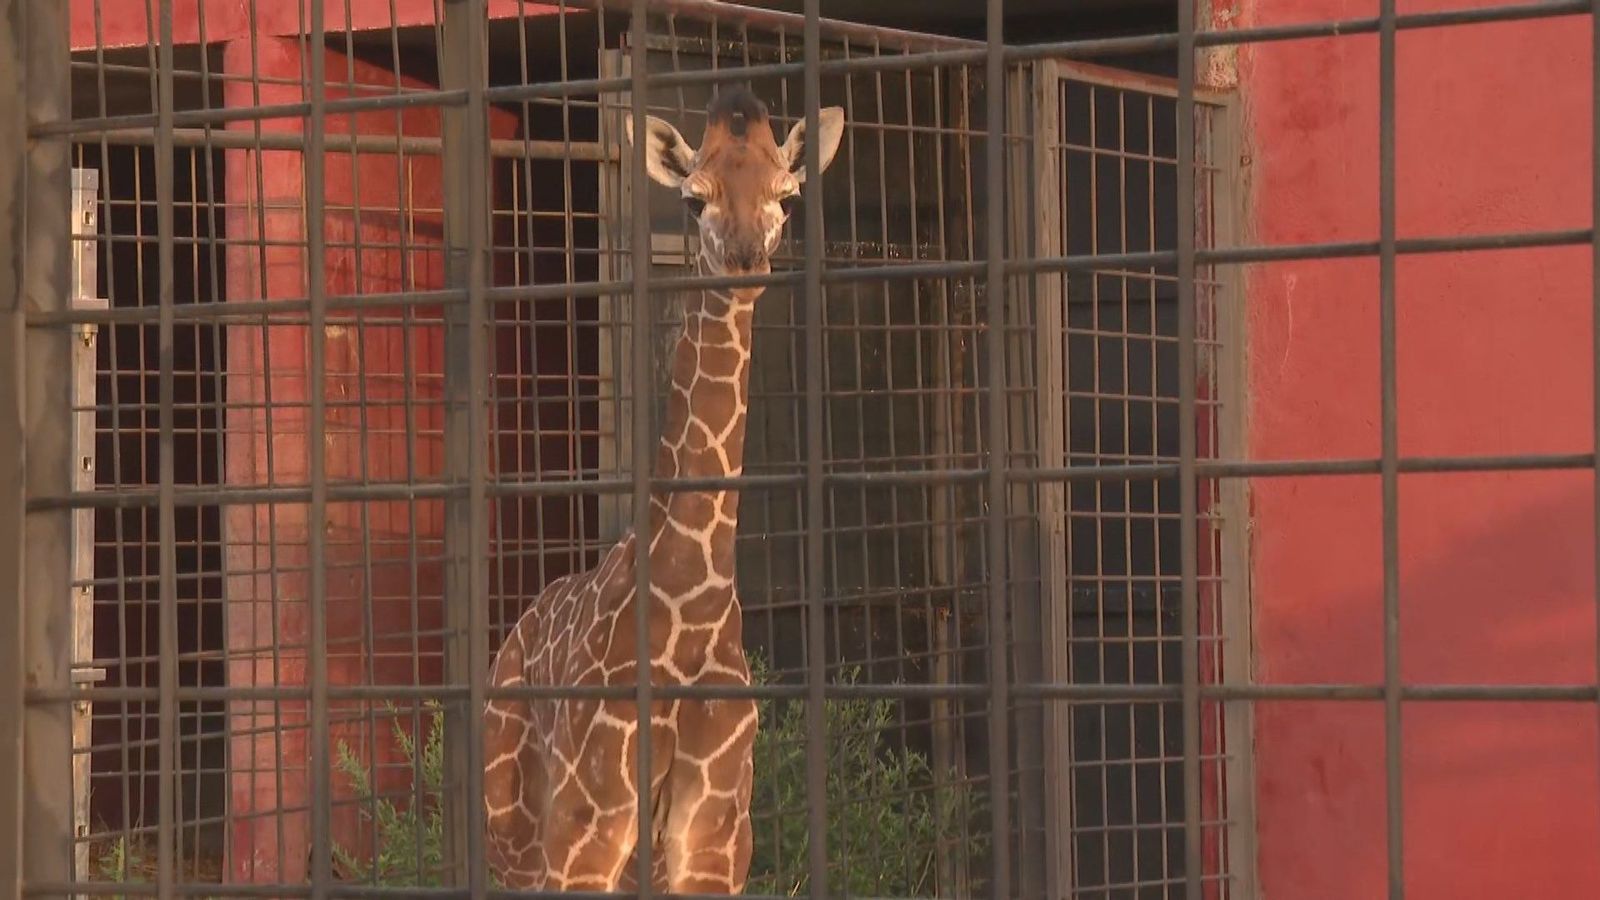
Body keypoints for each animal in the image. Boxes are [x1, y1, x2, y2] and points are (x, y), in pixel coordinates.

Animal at [483, 87, 846, 893]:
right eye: (692, 197)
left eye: (786, 195)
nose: (745, 258)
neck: (692, 600)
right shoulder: (583, 836)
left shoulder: (714, 841)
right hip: (518, 832)